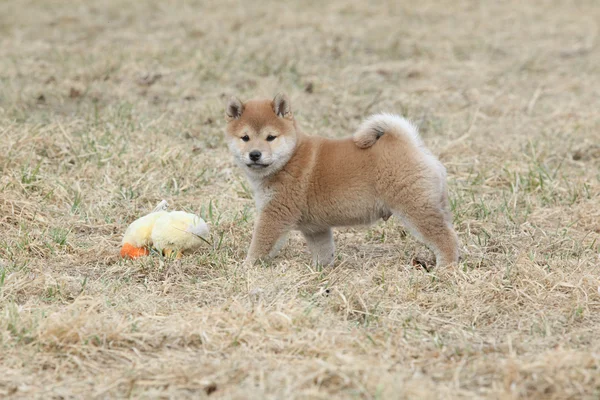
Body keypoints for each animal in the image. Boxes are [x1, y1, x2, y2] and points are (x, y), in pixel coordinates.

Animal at [225, 93, 460, 268]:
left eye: (270, 137)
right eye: (245, 138)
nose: (255, 154)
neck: (289, 159)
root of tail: (409, 144)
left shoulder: (275, 214)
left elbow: (260, 244)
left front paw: (246, 266)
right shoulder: (315, 228)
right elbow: (323, 250)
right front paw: (320, 270)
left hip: (415, 207)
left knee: (444, 238)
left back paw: (446, 268)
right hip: (434, 203)